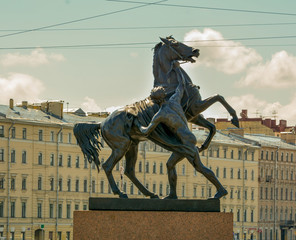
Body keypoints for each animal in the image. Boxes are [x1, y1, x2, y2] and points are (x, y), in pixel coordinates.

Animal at [73, 35, 238, 199]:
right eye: (175, 44)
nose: (195, 50)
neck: (169, 85)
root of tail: (101, 124)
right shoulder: (195, 107)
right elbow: (218, 97)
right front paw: (235, 119)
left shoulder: (192, 115)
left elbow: (212, 126)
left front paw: (203, 145)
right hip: (121, 147)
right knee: (108, 166)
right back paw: (120, 193)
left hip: (132, 146)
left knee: (129, 171)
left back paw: (150, 193)